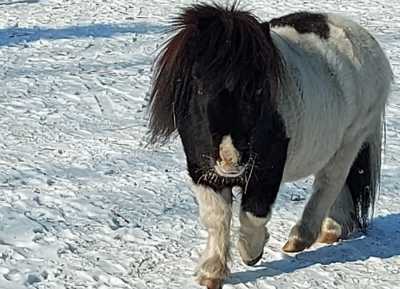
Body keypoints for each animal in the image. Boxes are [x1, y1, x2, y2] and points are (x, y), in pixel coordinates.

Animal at [146, 2, 390, 288]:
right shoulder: (202, 171)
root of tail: (365, 39)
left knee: (328, 185)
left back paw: (301, 237)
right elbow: (216, 218)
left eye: (258, 89)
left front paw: (251, 252)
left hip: (350, 141)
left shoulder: (266, 170)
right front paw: (212, 271)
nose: (230, 158)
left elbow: (253, 214)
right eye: (198, 84)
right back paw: (331, 230)